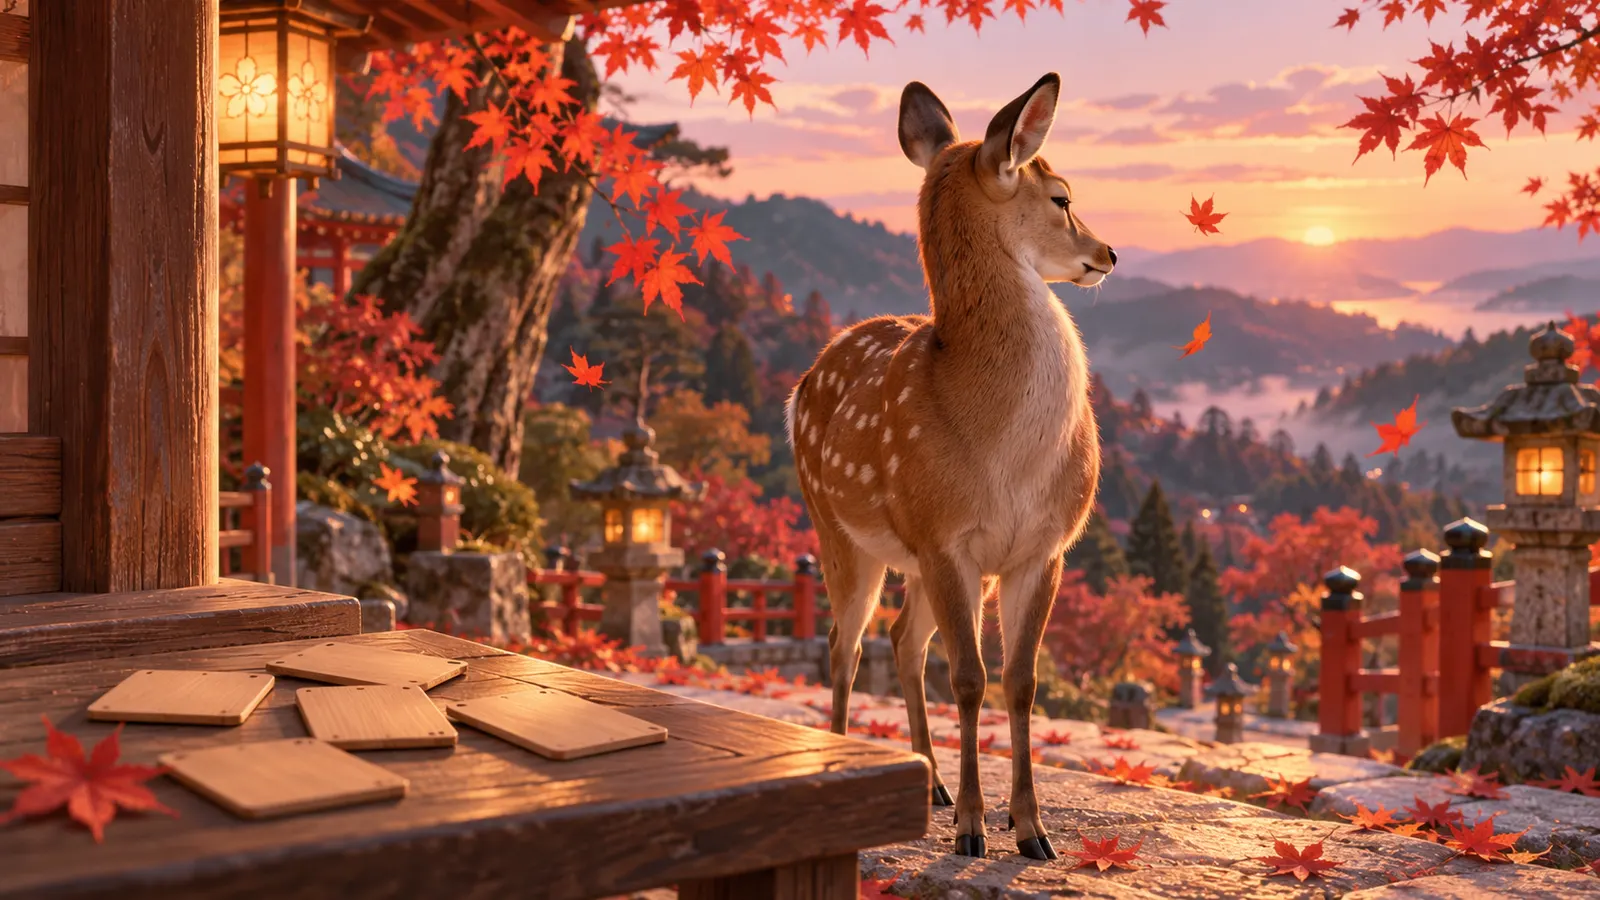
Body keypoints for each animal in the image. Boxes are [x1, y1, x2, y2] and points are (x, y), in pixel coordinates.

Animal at [784, 73, 1112, 861]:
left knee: (902, 640)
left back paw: (926, 781)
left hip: (917, 562)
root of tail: (800, 385)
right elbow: (969, 678)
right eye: (1061, 196)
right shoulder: (945, 536)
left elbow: (1020, 683)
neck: (1005, 451)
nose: (1108, 253)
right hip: (837, 526)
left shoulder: (1041, 548)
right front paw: (971, 829)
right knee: (845, 644)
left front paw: (1032, 830)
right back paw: (856, 767)